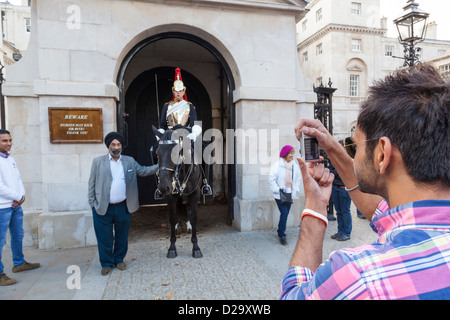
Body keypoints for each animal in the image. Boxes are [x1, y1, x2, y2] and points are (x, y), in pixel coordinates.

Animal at [155, 126, 204, 258]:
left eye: (176, 152)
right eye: (157, 153)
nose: (163, 187)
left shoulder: (195, 195)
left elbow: (194, 218)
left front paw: (196, 247)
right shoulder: (171, 197)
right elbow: (172, 219)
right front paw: (172, 247)